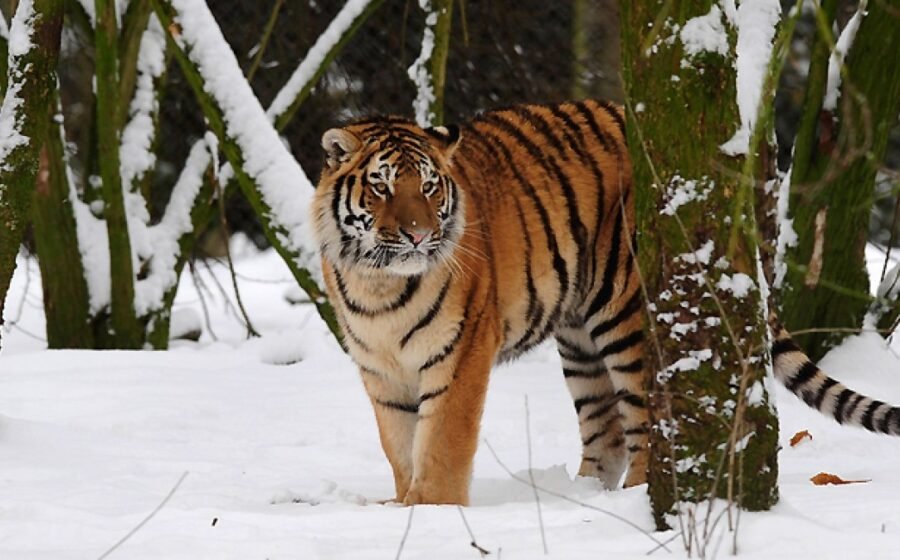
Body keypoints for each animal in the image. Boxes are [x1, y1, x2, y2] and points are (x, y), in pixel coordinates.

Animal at [311, 100, 900, 506]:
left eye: (431, 187)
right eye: (383, 187)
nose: (418, 235)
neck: (379, 283)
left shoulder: (459, 355)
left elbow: (440, 445)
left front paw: (433, 512)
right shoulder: (381, 371)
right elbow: (400, 447)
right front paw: (403, 506)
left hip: (627, 320)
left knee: (647, 426)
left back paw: (635, 502)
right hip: (578, 337)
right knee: (608, 433)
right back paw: (581, 498)